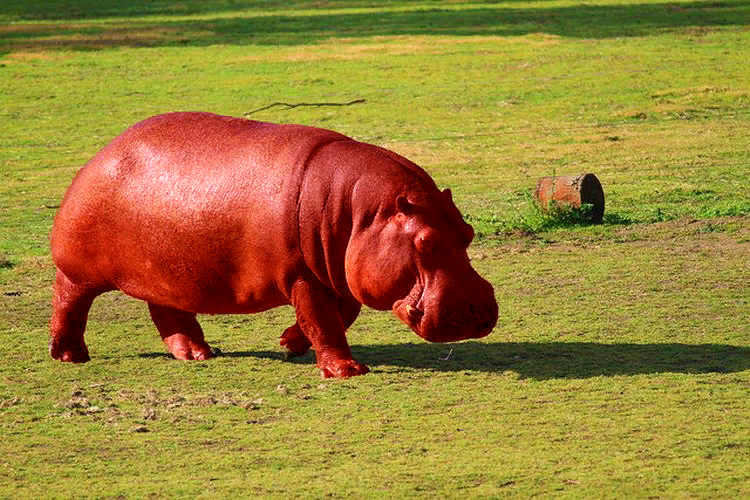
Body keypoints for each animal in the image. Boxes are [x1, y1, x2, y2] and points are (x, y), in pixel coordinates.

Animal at [51, 112, 500, 378]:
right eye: (425, 241)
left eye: (467, 232)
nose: (478, 310)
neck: (362, 213)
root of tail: (102, 153)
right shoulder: (302, 274)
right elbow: (323, 318)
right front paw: (347, 371)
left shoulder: (337, 271)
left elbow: (342, 314)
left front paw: (288, 344)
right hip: (80, 268)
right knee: (69, 300)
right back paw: (69, 355)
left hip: (167, 272)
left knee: (168, 310)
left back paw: (198, 354)